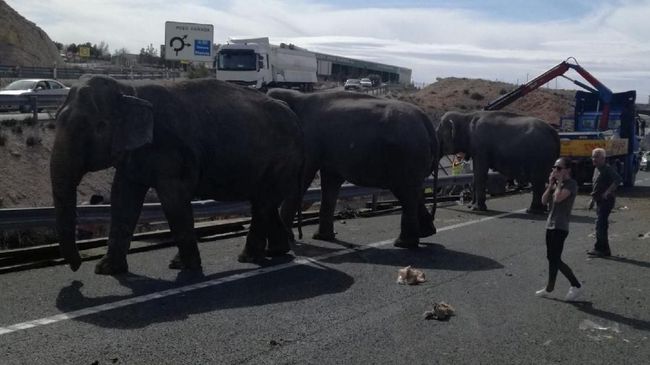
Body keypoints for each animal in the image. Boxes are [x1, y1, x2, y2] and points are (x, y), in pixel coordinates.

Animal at [51, 75, 304, 272]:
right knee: (264, 202)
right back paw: (277, 251)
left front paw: (185, 266)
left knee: (262, 203)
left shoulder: (171, 150)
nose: (76, 266)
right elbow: (122, 198)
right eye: (55, 119)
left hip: (281, 160)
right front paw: (106, 270)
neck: (129, 90)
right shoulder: (134, 154)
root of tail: (294, 117)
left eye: (100, 126)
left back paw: (248, 257)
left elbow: (173, 200)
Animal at [266, 88, 438, 247]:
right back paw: (426, 233)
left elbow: (304, 177)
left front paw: (290, 239)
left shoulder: (309, 141)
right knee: (412, 192)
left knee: (406, 193)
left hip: (406, 155)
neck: (297, 96)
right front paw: (322, 238)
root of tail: (425, 120)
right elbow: (330, 183)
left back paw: (403, 243)